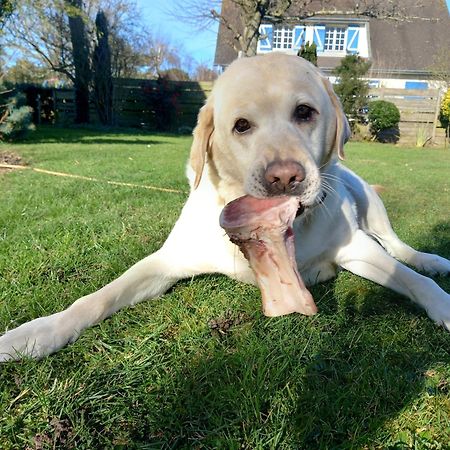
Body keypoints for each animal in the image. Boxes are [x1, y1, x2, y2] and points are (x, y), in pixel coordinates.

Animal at [0, 53, 450, 362]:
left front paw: (442, 302)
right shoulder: (167, 261)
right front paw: (36, 334)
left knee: (397, 244)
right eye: (241, 126)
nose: (285, 177)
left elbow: (411, 280)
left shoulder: (356, 247)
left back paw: (429, 259)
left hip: (369, 200)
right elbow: (96, 298)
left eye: (304, 112)